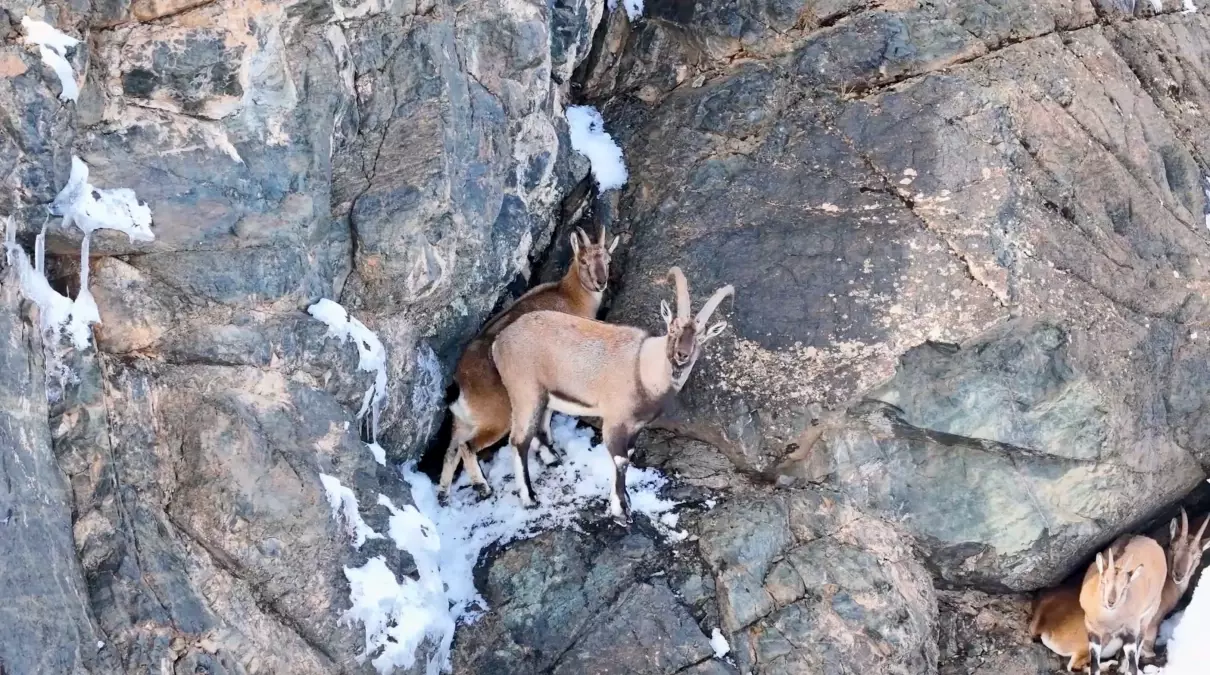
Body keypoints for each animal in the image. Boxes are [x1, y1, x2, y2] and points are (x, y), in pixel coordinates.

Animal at [438, 225, 619, 505]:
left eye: (608, 260)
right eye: (583, 260)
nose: (601, 282)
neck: (569, 295)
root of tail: (461, 383)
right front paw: (549, 449)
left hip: (462, 422)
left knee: (451, 450)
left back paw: (443, 494)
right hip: (497, 417)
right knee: (468, 447)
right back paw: (484, 487)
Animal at [486, 267, 730, 520]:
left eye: (701, 337)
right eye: (672, 328)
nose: (682, 355)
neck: (642, 367)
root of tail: (499, 342)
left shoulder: (635, 426)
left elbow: (628, 455)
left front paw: (624, 501)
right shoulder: (614, 421)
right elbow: (621, 461)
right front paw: (621, 510)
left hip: (544, 396)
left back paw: (551, 459)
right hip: (525, 392)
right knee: (518, 440)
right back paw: (529, 498)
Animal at [1084, 537, 1166, 672]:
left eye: (1125, 588)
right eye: (1103, 581)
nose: (1110, 602)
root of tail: (1151, 541)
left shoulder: (1131, 628)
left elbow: (1132, 659)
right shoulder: (1092, 629)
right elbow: (1094, 663)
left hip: (1149, 612)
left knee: (1140, 639)